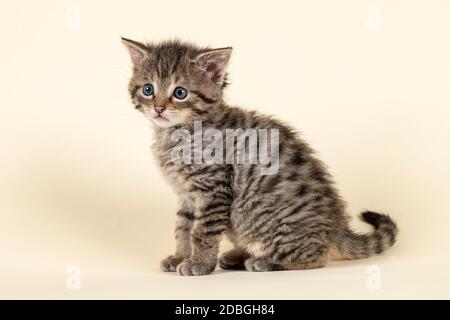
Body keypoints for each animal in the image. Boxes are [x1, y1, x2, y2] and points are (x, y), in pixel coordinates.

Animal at [122, 37, 398, 276]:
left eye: (180, 93)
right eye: (148, 89)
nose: (158, 107)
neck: (178, 133)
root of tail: (336, 225)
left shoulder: (214, 188)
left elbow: (202, 231)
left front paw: (198, 263)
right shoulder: (186, 194)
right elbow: (183, 228)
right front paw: (180, 256)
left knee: (316, 257)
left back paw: (265, 261)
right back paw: (238, 256)